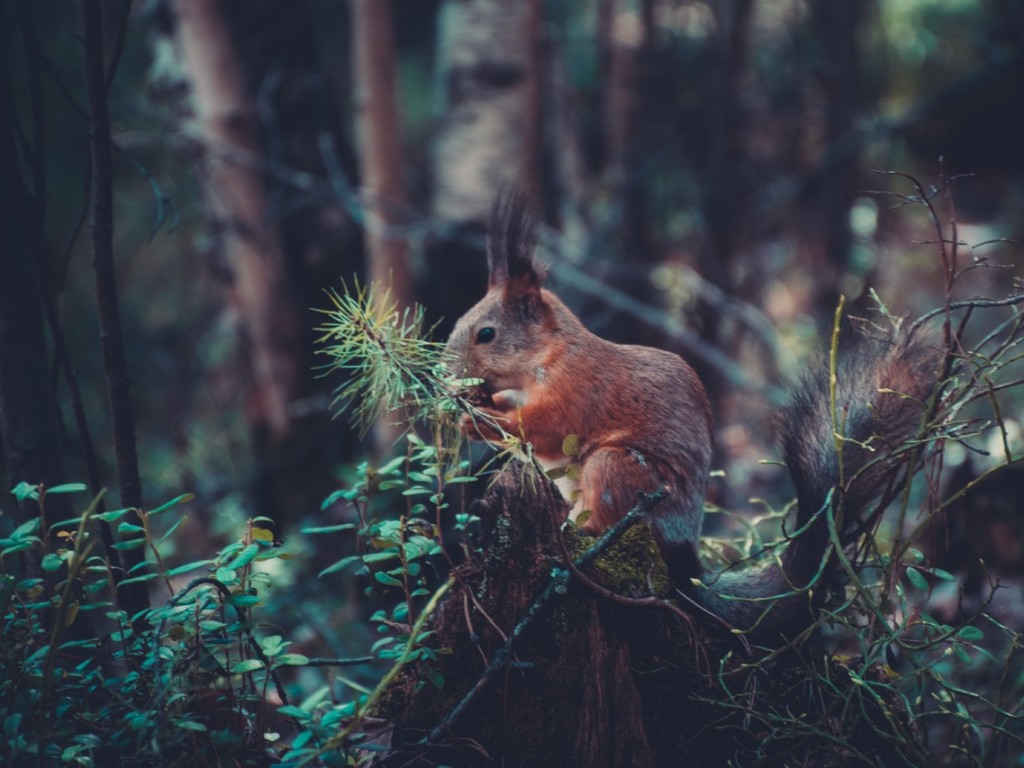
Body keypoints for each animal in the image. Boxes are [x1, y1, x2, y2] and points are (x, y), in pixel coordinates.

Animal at [444, 192, 937, 638]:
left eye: (486, 334)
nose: (446, 374)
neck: (546, 356)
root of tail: (685, 556)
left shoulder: (578, 391)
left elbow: (543, 428)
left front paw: (477, 419)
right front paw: (473, 406)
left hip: (619, 471)